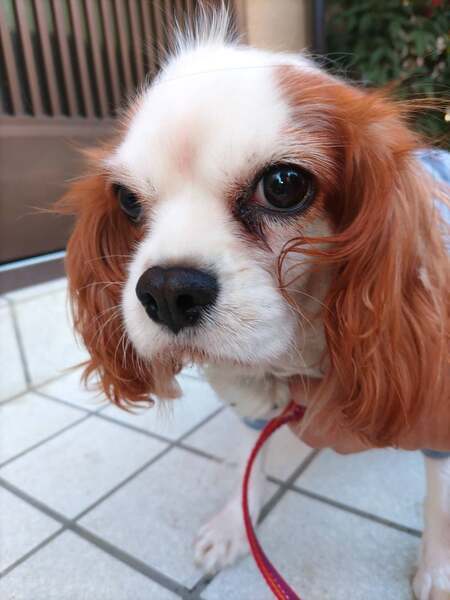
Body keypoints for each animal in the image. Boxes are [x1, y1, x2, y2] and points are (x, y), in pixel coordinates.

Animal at [58, 11, 449, 599]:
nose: (167, 290)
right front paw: (232, 526)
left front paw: (438, 567)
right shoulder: (248, 399)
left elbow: (439, 499)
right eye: (126, 200)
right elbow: (249, 458)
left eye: (284, 184)